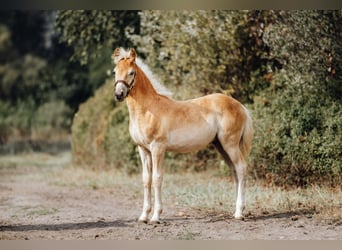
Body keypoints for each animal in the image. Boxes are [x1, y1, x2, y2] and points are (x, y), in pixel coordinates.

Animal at [112, 47, 254, 224]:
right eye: (115, 71)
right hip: (221, 146)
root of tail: (241, 106)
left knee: (241, 169)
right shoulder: (143, 150)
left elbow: (157, 178)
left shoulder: (158, 148)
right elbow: (146, 179)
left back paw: (239, 213)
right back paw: (235, 210)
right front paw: (144, 216)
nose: (119, 94)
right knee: (235, 172)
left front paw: (156, 217)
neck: (147, 109)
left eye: (132, 72)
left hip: (231, 145)